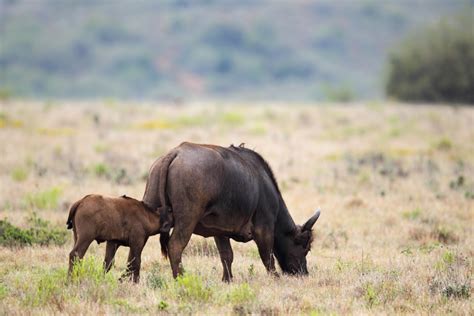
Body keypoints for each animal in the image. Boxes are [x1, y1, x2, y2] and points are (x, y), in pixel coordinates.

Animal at [143, 142, 320, 280]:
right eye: (305, 247)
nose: (303, 273)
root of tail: (174, 154)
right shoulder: (264, 229)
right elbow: (267, 257)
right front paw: (275, 278)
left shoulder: (220, 231)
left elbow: (226, 255)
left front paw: (227, 279)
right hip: (187, 220)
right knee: (175, 246)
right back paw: (181, 278)